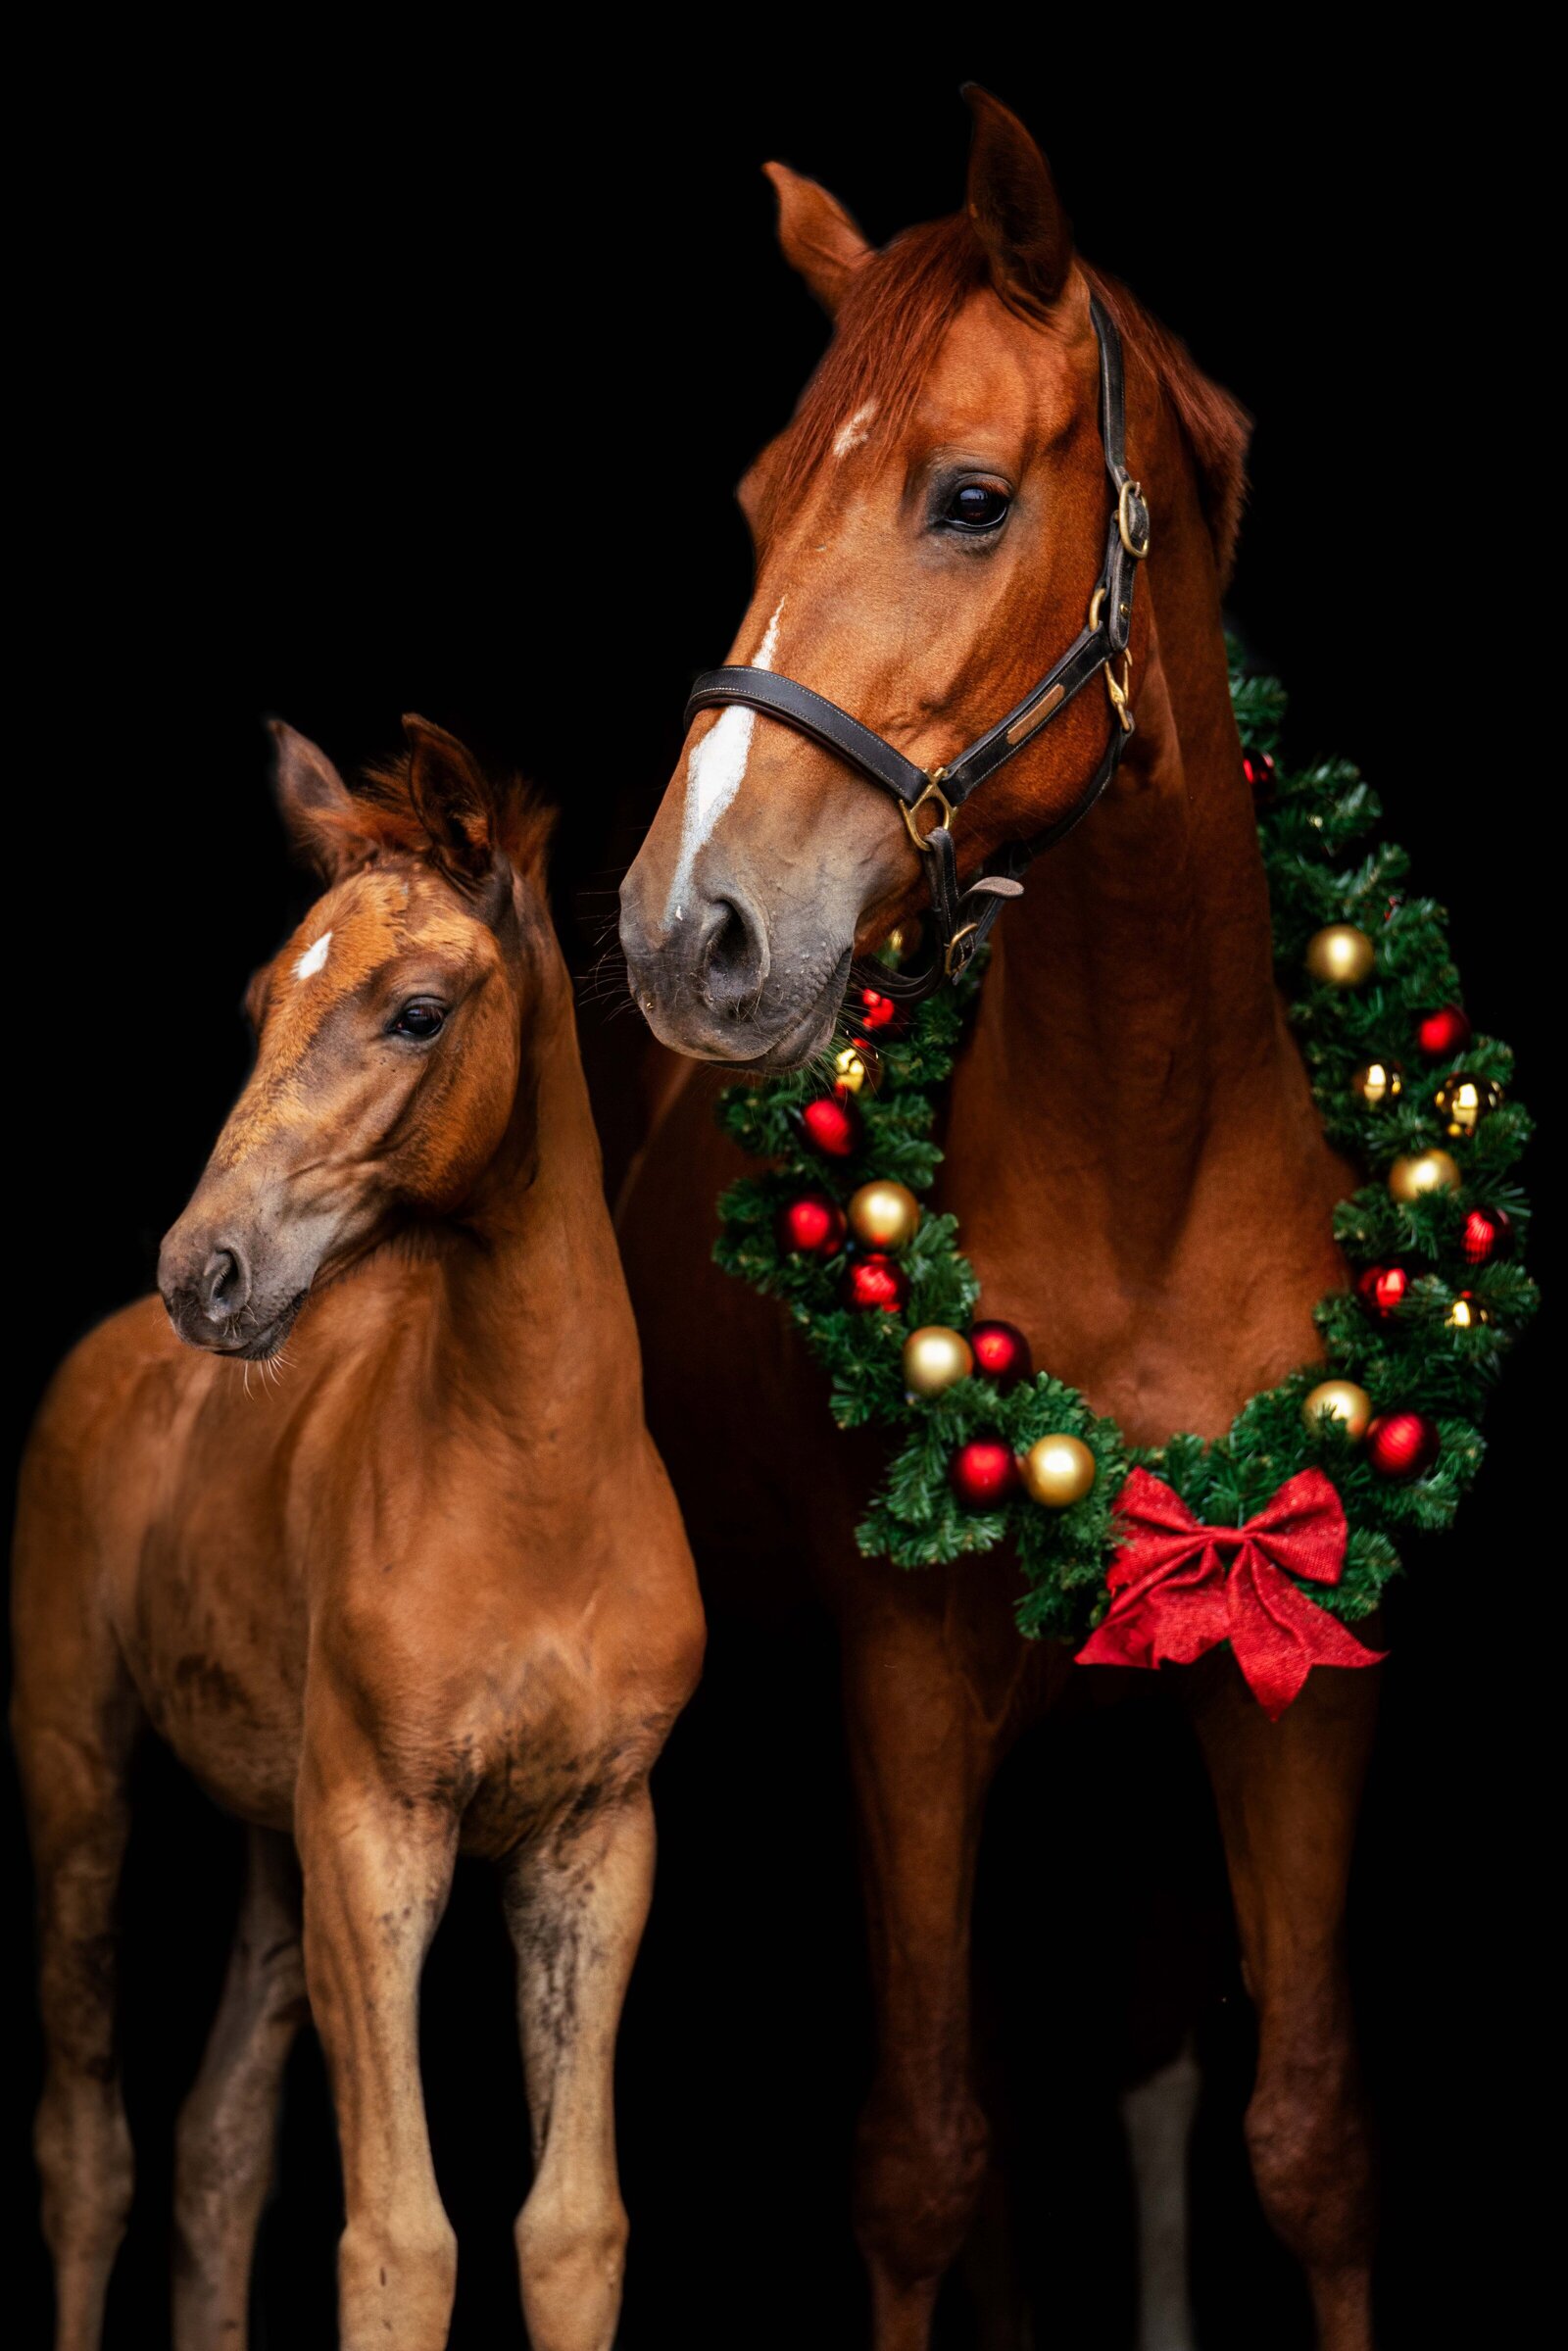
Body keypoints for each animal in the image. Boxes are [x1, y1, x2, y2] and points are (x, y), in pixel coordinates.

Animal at [12, 716, 704, 2351]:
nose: (205, 1268)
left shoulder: (597, 1837)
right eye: (263, 997)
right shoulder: (374, 1825)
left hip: (273, 1829)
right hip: (80, 1767)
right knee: (86, 2144)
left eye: (420, 1009)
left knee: (215, 2144)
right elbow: (399, 2239)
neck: (536, 1487)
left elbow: (571, 2229)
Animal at [616, 88, 1378, 2351]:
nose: (685, 930)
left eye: (966, 499)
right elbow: (916, 2155)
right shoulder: (900, 1686)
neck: (1148, 1173)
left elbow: (1302, 2132)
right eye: (757, 494)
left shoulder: (1294, 1686)